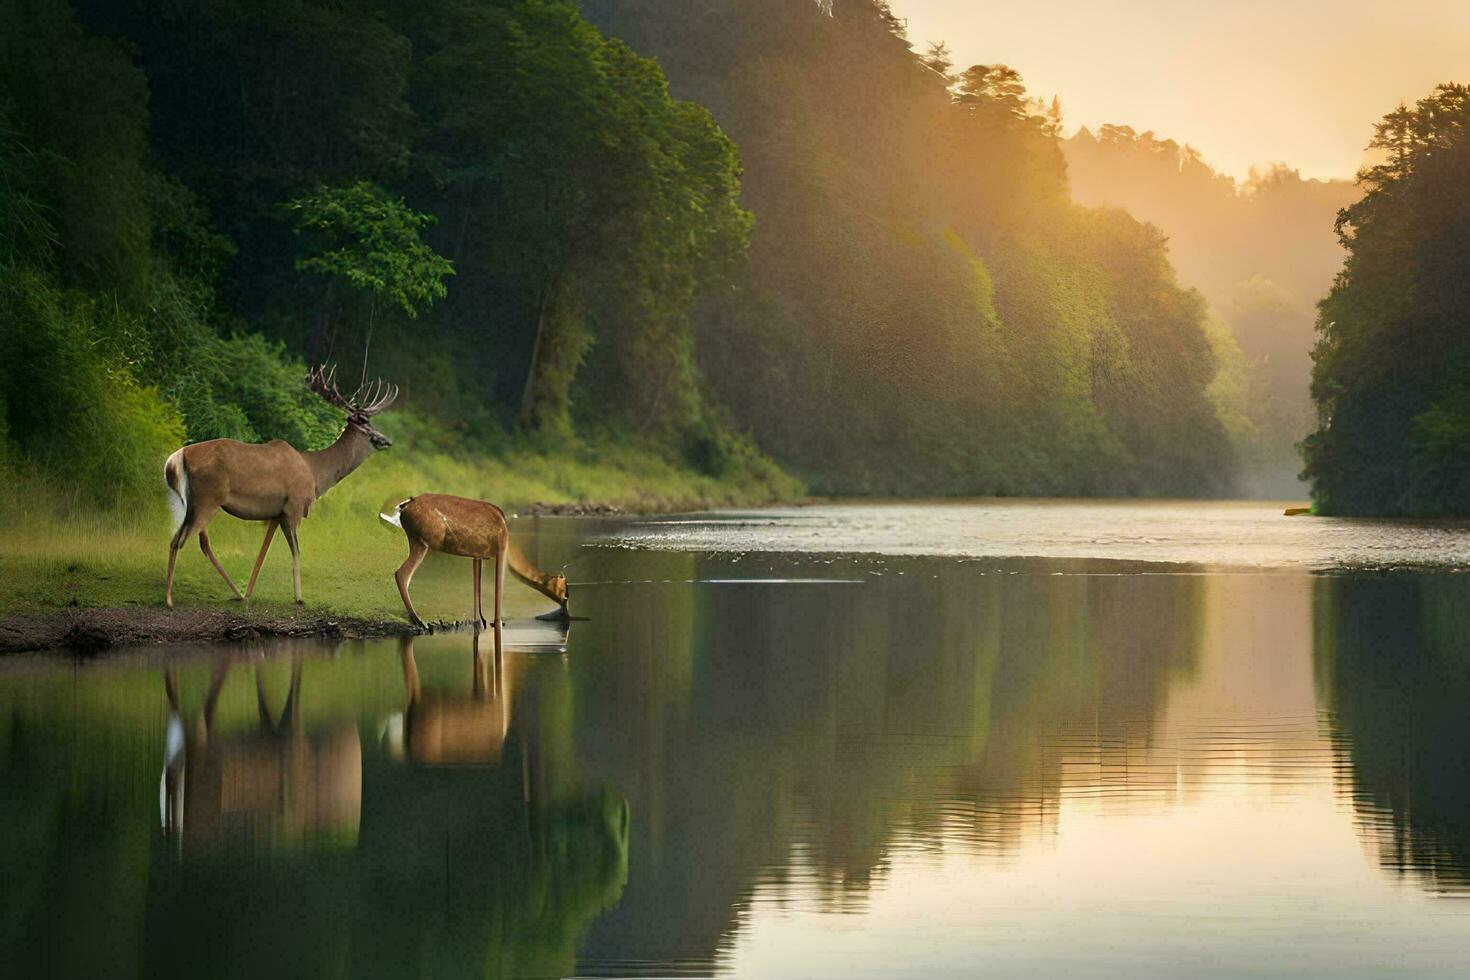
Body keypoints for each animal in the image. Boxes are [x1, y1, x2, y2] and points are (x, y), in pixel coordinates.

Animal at [163, 365, 396, 605]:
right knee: (179, 541)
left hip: (193, 502)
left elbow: (263, 551)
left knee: (199, 542)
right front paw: (299, 597)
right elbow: (296, 552)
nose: (387, 440)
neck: (315, 474)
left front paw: (249, 593)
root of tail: (176, 458)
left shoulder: (276, 513)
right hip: (207, 498)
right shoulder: (294, 506)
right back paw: (169, 598)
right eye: (366, 423)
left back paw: (237, 594)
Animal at [385, 499, 567, 628]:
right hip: (422, 542)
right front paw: (497, 623)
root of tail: (404, 507)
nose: (565, 612)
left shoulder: (477, 556)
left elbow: (476, 591)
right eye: (564, 587)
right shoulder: (500, 551)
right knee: (402, 573)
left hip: (417, 541)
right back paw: (419, 621)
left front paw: (481, 622)